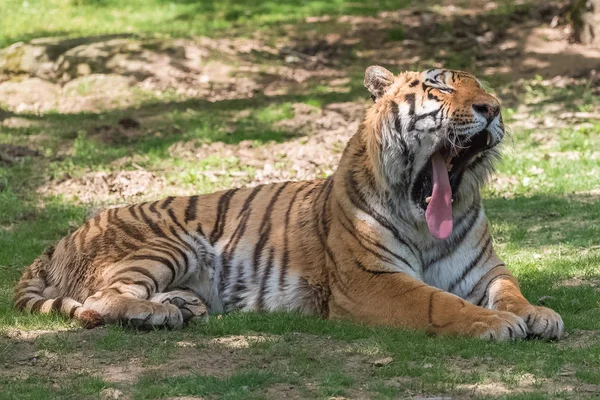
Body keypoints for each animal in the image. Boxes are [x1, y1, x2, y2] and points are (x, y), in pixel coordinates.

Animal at [14, 66, 564, 340]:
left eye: (484, 87)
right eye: (439, 86)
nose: (492, 109)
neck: (426, 221)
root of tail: (56, 243)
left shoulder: (486, 271)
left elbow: (511, 290)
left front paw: (539, 314)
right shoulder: (373, 281)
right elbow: (437, 302)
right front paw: (496, 325)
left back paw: (182, 306)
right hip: (168, 244)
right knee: (97, 301)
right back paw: (157, 315)